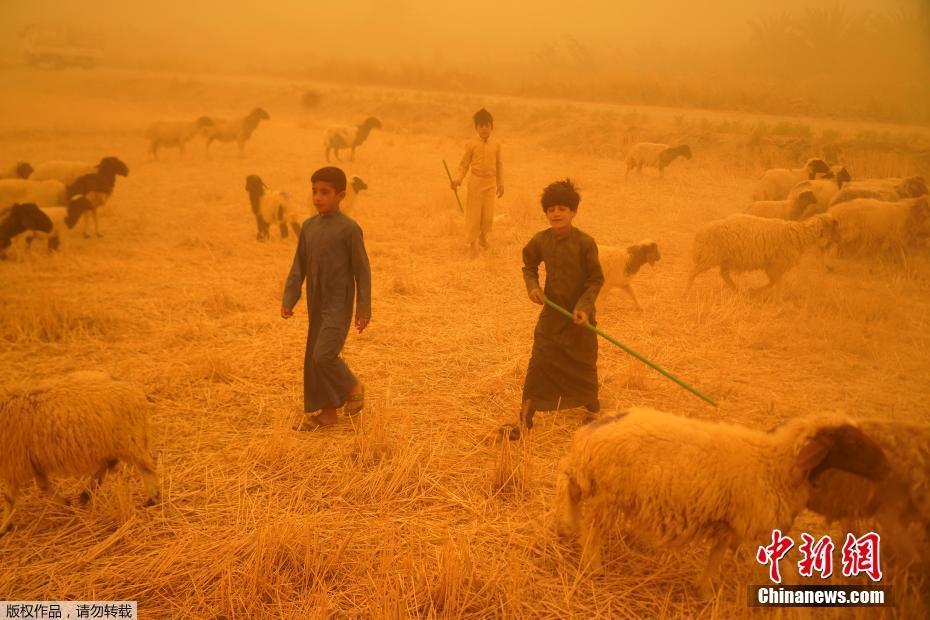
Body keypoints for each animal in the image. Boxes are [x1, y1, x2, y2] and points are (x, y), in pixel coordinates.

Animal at [0, 370, 160, 536]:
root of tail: (132, 389)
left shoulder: (14, 462)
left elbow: (9, 497)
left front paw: (4, 527)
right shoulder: (30, 460)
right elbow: (42, 486)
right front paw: (66, 504)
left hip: (129, 439)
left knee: (145, 467)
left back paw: (152, 498)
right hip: (111, 442)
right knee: (110, 463)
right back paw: (86, 494)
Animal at [556, 406, 888, 596]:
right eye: (851, 440)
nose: (885, 464)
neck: (775, 463)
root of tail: (593, 430)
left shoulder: (730, 523)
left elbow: (716, 553)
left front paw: (704, 589)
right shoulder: (755, 524)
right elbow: (787, 570)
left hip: (592, 480)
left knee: (570, 491)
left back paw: (568, 528)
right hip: (609, 493)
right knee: (593, 529)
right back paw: (593, 565)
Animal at [684, 213, 836, 294]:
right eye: (833, 226)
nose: (833, 243)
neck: (800, 234)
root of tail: (700, 233)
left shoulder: (771, 266)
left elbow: (772, 283)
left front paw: (753, 292)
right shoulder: (776, 265)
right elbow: (776, 285)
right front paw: (779, 303)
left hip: (724, 259)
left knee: (724, 274)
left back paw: (737, 290)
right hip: (709, 256)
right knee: (693, 272)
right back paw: (685, 293)